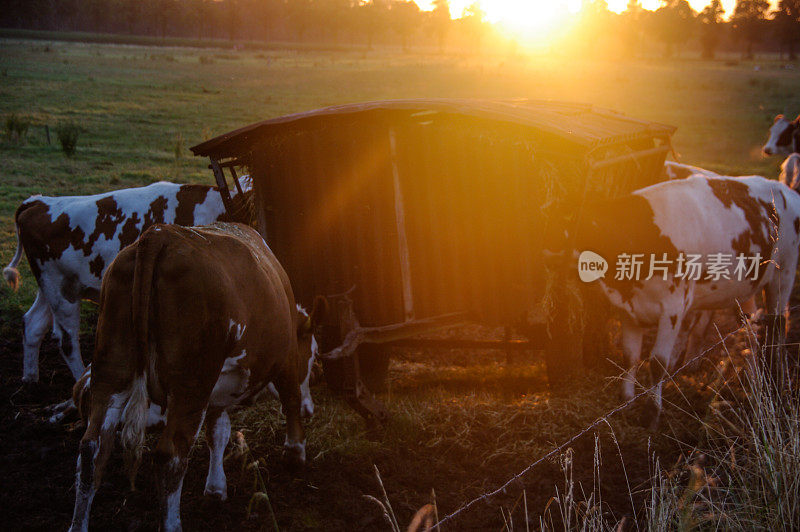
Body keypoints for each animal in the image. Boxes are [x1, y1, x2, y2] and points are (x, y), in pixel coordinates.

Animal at [2, 179, 250, 382]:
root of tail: (39, 202)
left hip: (53, 285)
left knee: (33, 324)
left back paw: (30, 379)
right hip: (60, 290)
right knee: (67, 341)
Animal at [69, 222, 318, 532]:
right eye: (313, 358)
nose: (311, 409)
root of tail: (159, 234)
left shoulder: (218, 390)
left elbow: (218, 430)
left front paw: (215, 488)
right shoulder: (286, 359)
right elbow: (290, 400)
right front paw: (295, 453)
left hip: (110, 369)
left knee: (92, 449)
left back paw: (78, 523)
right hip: (191, 382)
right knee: (171, 455)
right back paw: (172, 523)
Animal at [568, 175, 800, 424]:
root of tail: (784, 189)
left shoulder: (673, 308)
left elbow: (658, 362)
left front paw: (651, 413)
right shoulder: (628, 309)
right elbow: (630, 356)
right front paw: (626, 400)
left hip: (783, 274)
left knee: (776, 326)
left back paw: (775, 383)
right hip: (747, 286)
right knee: (752, 327)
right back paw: (755, 378)